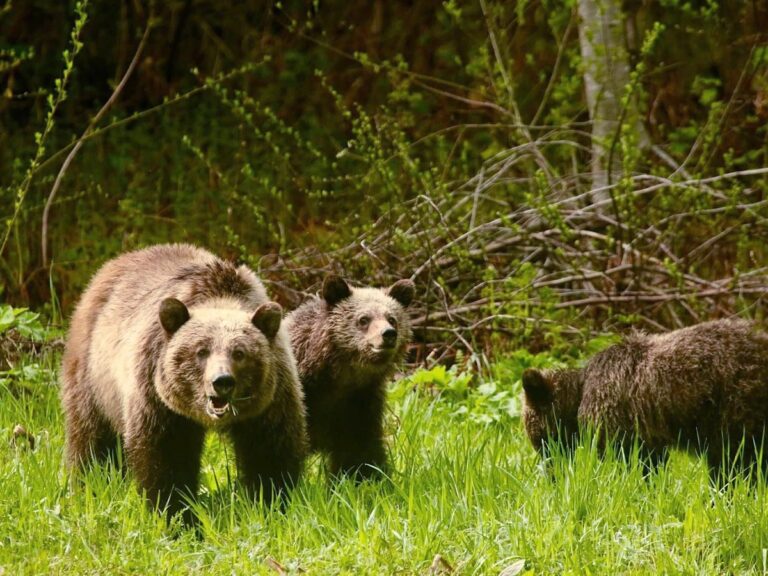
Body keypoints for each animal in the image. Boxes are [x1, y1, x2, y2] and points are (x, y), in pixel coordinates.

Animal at [60, 244, 308, 520]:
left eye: (239, 353)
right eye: (201, 351)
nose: (222, 381)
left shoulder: (270, 399)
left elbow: (270, 452)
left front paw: (271, 502)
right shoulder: (157, 397)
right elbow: (167, 456)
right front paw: (174, 511)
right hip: (94, 376)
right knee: (92, 438)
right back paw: (87, 485)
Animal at [522, 319, 768, 480]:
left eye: (540, 438)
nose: (552, 472)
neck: (579, 395)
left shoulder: (616, 420)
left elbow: (629, 461)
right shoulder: (645, 434)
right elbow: (651, 461)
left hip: (732, 405)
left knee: (733, 458)